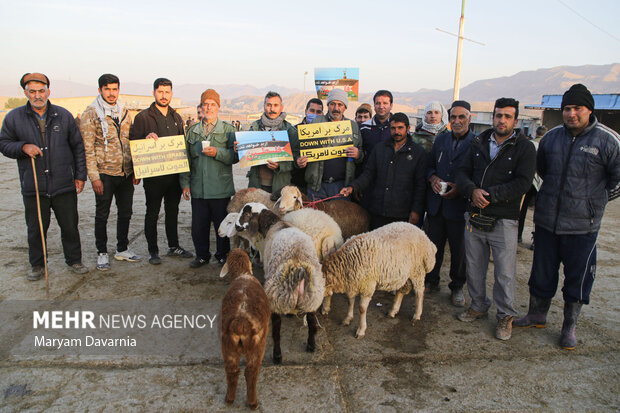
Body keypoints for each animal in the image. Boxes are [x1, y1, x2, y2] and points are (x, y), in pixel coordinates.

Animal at [219, 248, 270, 408]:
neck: (243, 274)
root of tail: (240, 321)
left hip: (227, 345)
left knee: (232, 370)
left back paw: (229, 399)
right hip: (257, 345)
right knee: (251, 372)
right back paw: (253, 402)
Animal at [235, 203, 324, 364]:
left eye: (246, 214)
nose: (235, 226)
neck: (276, 224)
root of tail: (299, 269)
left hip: (276, 297)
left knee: (276, 333)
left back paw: (277, 356)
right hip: (312, 298)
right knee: (312, 324)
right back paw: (311, 345)